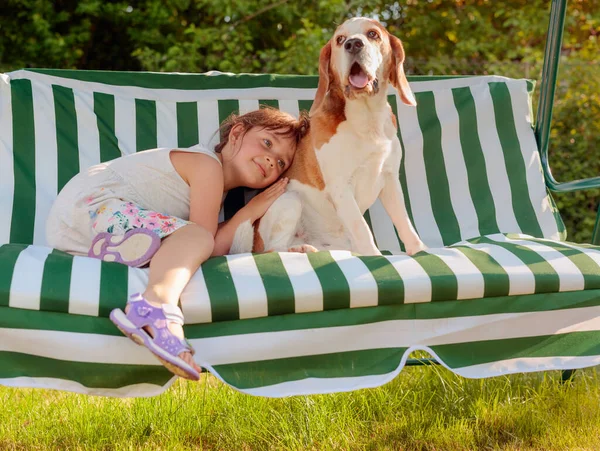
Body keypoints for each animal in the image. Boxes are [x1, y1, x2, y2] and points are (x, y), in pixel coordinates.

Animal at [230, 18, 426, 258]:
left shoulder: (390, 180)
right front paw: (373, 255)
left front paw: (420, 251)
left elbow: (405, 223)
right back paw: (299, 248)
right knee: (273, 249)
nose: (353, 44)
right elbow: (362, 227)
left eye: (373, 34)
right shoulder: (341, 186)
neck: (367, 119)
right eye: (340, 40)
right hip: (290, 200)